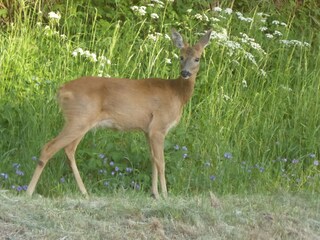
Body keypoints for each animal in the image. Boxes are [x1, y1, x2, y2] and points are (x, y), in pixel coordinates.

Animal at [26, 28, 212, 199]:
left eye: (197, 58)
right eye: (181, 57)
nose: (185, 73)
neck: (177, 94)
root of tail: (61, 90)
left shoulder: (148, 130)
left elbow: (152, 159)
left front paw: (155, 194)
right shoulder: (158, 126)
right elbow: (161, 162)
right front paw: (165, 196)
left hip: (80, 121)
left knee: (69, 149)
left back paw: (85, 193)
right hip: (79, 118)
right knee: (49, 147)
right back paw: (29, 192)